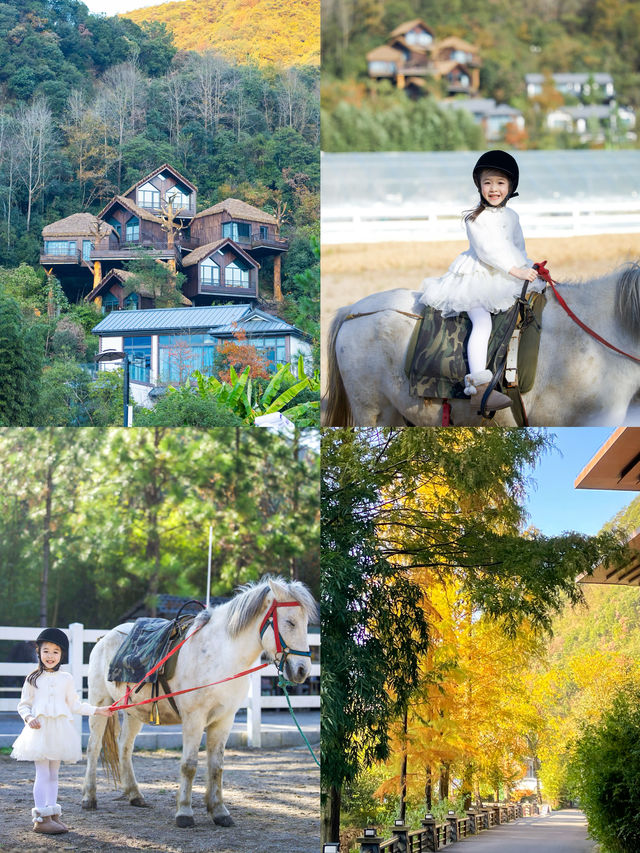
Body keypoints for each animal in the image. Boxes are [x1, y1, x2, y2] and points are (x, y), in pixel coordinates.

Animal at [81, 576, 318, 828]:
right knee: (93, 747)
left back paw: (135, 795)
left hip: (134, 712)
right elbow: (189, 765)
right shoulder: (194, 719)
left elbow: (216, 767)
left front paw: (219, 811)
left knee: (125, 747)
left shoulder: (224, 720)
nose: (302, 671)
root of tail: (104, 638)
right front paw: (184, 812)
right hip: (100, 704)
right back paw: (89, 797)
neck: (220, 655)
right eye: (290, 622)